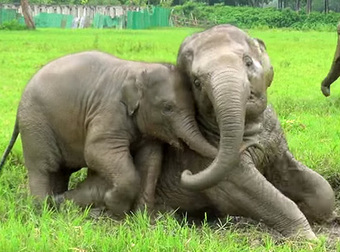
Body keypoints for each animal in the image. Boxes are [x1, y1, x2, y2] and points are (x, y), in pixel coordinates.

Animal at [0, 51, 216, 219]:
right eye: (167, 108)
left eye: (194, 108)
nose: (187, 172)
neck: (139, 68)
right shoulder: (109, 110)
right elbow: (96, 151)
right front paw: (114, 205)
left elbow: (150, 161)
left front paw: (142, 217)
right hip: (35, 123)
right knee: (43, 167)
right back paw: (42, 210)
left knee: (60, 170)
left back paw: (56, 203)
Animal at [154, 24, 334, 239]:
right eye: (196, 82)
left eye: (248, 62)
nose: (186, 173)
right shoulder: (206, 156)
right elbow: (250, 191)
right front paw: (309, 239)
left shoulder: (275, 137)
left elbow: (315, 184)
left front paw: (317, 216)